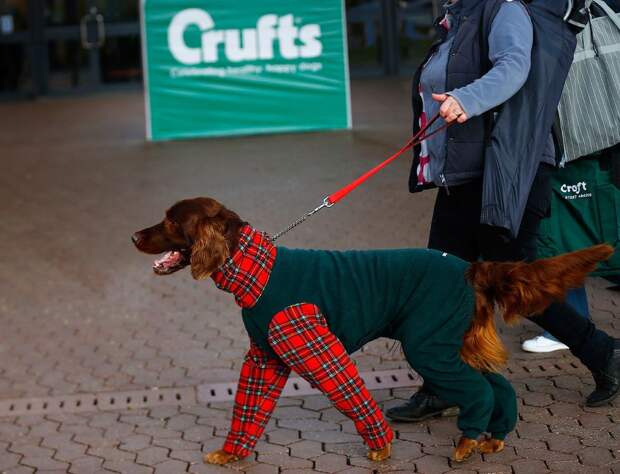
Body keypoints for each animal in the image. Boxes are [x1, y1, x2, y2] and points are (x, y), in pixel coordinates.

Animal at [133, 198, 612, 464]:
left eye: (172, 221)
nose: (134, 235)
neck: (258, 271)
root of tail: (468, 268)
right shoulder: (265, 359)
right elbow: (247, 410)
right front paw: (232, 454)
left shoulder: (316, 351)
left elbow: (351, 394)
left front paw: (380, 447)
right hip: (453, 345)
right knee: (498, 388)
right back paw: (490, 439)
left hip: (429, 346)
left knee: (480, 390)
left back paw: (465, 444)